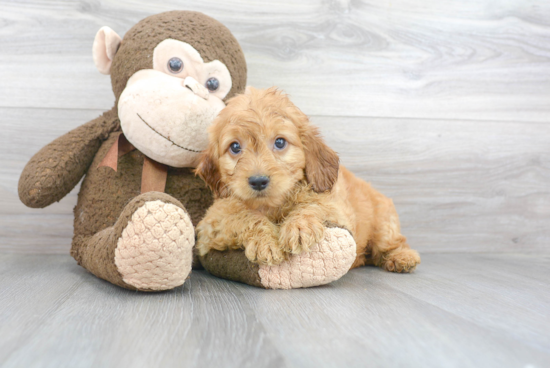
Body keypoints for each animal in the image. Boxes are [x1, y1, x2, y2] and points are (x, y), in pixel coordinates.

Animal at [196, 87, 420, 274]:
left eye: (280, 142)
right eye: (235, 147)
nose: (258, 181)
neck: (272, 206)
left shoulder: (336, 208)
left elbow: (314, 204)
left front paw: (298, 227)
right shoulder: (212, 224)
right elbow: (244, 217)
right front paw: (265, 243)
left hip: (384, 223)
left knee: (393, 243)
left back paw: (402, 257)